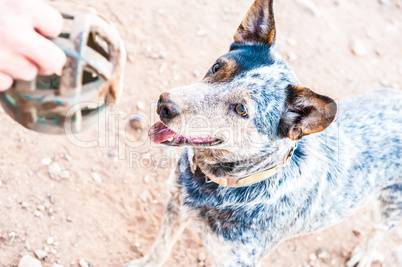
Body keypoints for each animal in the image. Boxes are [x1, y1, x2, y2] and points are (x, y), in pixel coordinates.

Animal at [124, 0, 400, 267]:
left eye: (241, 109)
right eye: (216, 67)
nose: (164, 104)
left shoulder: (235, 259)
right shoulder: (176, 205)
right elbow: (160, 249)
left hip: (390, 206)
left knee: (379, 230)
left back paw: (365, 254)